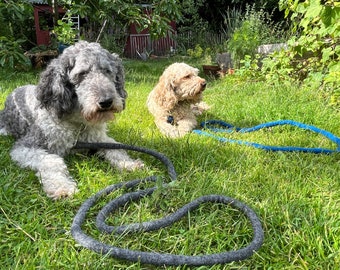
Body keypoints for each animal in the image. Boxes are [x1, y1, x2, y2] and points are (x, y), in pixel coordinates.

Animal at [0, 41, 143, 199]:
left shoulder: (99, 139)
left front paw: (129, 164)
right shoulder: (26, 146)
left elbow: (115, 148)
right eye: (82, 74)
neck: (77, 124)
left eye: (107, 71)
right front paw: (61, 187)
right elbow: (52, 161)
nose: (106, 102)